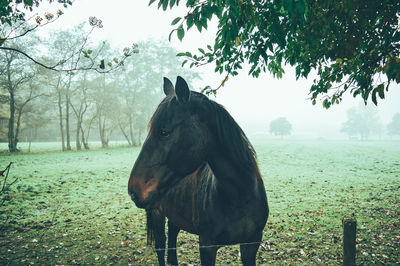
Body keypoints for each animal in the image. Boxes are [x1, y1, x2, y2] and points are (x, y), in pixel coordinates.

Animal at [128, 76, 268, 264]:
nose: (133, 190)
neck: (239, 196)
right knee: (161, 246)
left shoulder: (251, 244)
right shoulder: (207, 246)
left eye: (164, 132)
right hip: (157, 213)